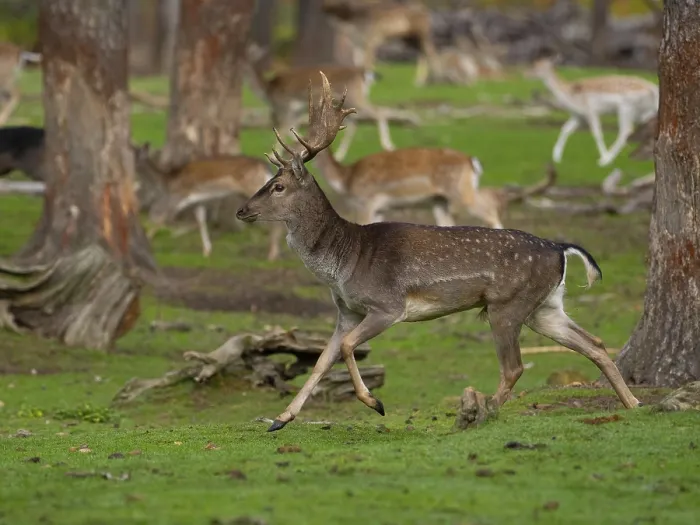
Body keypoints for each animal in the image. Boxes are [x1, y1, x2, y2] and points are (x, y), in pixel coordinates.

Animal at [133, 143, 284, 261]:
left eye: (133, 158)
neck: (167, 182)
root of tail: (265, 166)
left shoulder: (178, 196)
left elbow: (160, 218)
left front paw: (148, 243)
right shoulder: (197, 202)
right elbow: (201, 222)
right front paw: (207, 251)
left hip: (253, 186)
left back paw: (271, 255)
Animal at [235, 71, 642, 432]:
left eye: (278, 186)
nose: (241, 210)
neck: (345, 262)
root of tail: (560, 248)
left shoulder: (388, 305)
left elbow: (348, 348)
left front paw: (374, 403)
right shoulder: (347, 312)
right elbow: (321, 360)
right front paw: (280, 419)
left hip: (507, 305)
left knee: (514, 367)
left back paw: (483, 414)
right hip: (545, 307)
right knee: (594, 344)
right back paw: (633, 402)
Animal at [245, 44, 395, 162]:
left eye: (244, 58)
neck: (268, 91)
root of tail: (365, 73)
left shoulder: (286, 106)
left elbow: (283, 129)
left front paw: (272, 156)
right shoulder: (296, 111)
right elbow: (293, 131)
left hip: (356, 97)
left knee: (380, 111)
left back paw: (388, 145)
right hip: (346, 103)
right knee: (355, 123)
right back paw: (340, 155)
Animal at [528, 56, 658, 168]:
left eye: (537, 65)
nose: (526, 73)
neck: (571, 97)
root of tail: (653, 88)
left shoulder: (591, 111)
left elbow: (597, 133)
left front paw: (603, 156)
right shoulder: (579, 116)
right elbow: (565, 129)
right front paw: (556, 157)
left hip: (626, 108)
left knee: (626, 130)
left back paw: (606, 160)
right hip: (645, 112)